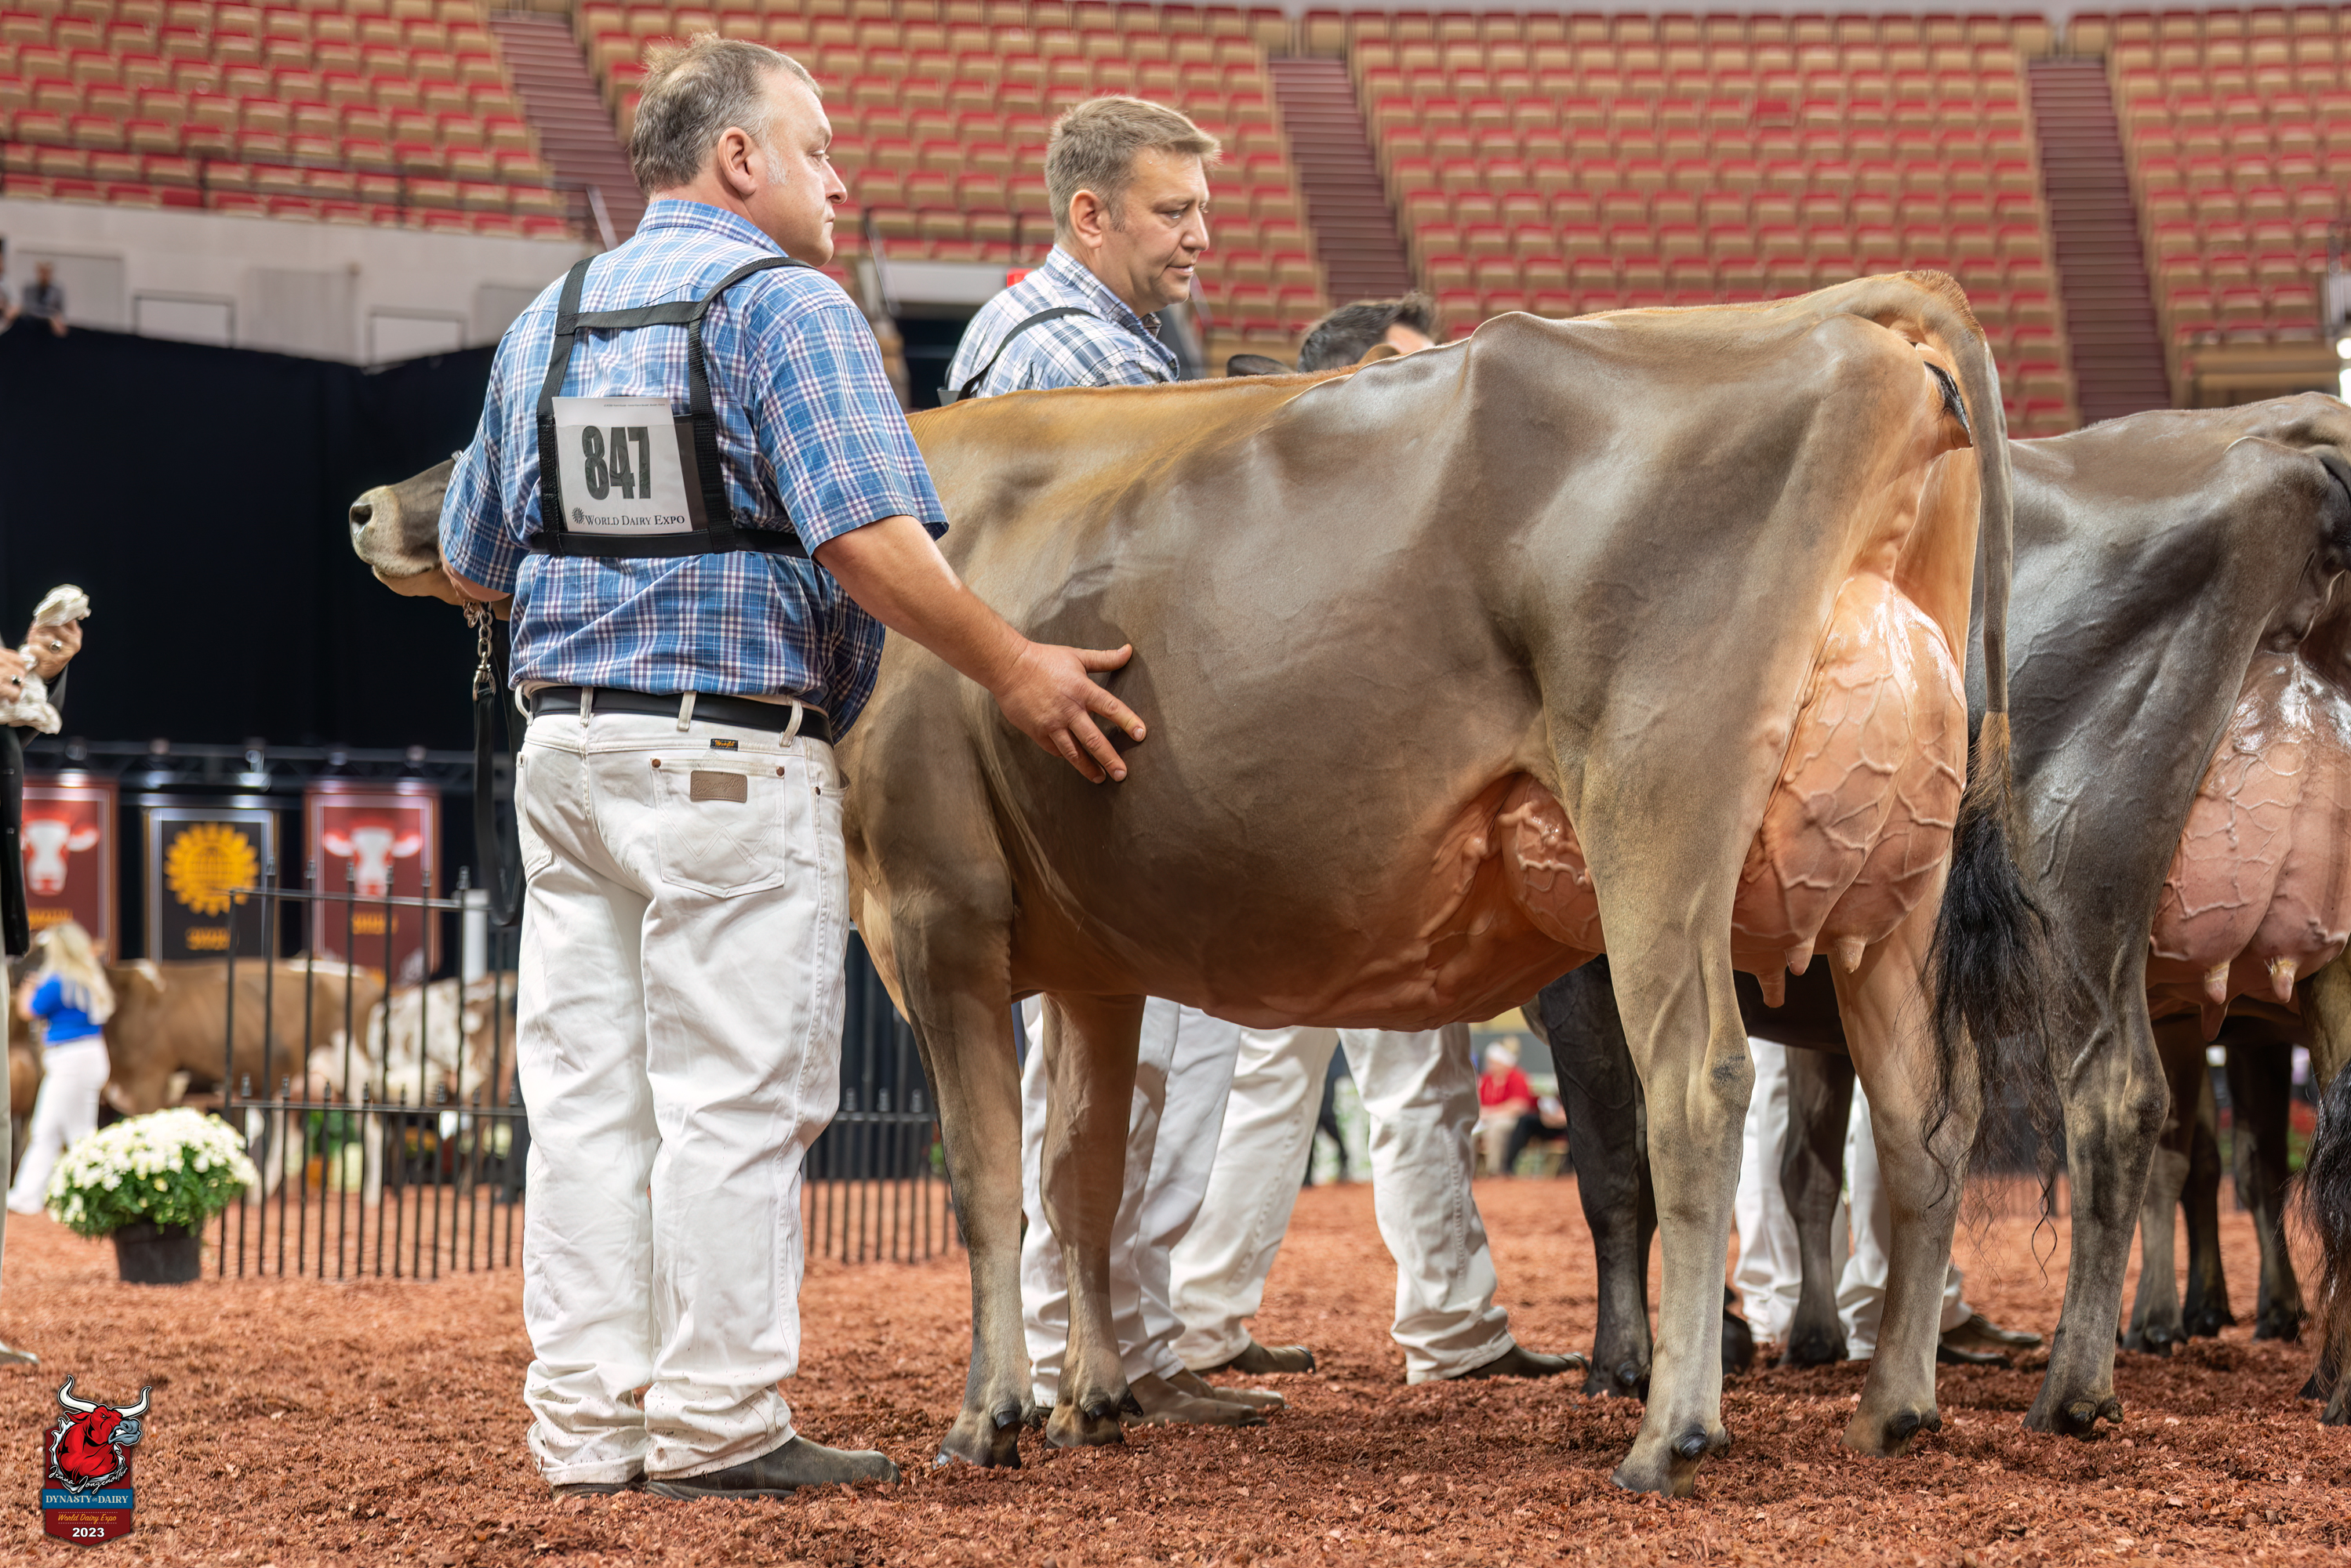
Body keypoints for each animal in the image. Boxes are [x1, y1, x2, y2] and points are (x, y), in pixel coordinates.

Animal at [347, 276, 2043, 1496]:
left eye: (497, 402)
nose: (372, 504)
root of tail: (1837, 319)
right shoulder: (1096, 962)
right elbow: (1082, 1174)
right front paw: (1094, 1394)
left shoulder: (933, 915)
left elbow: (985, 1179)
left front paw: (991, 1414)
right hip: (1882, 899)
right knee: (1926, 1113)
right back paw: (1894, 1403)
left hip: (1658, 827)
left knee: (1697, 1094)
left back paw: (1669, 1430)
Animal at [1543, 396, 2351, 1433]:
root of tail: (2289, 427)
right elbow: (1804, 1164)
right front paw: (1786, 1332)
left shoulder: (1583, 968)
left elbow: (1616, 1168)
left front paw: (1624, 1359)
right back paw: (2331, 1382)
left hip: (2074, 885)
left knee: (2122, 1102)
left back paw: (2074, 1386)